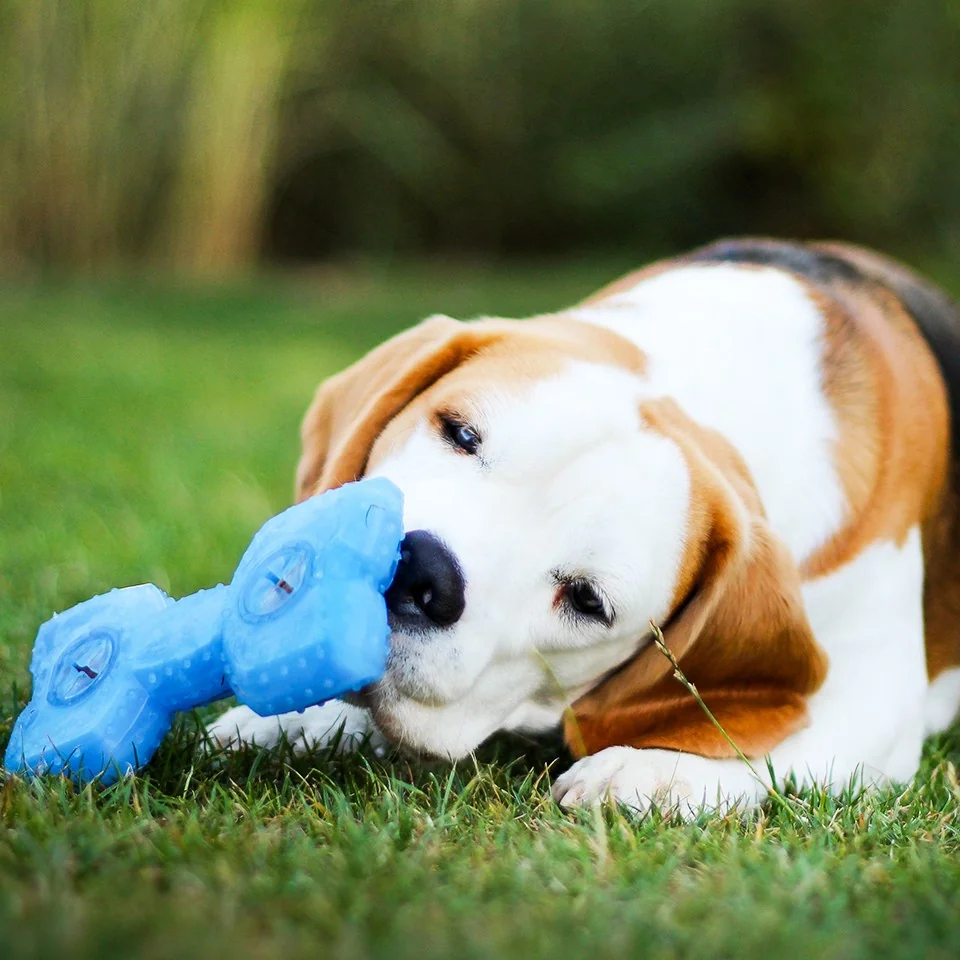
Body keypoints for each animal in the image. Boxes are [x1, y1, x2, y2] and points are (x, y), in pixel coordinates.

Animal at [208, 236, 960, 812]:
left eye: (588, 601)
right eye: (460, 432)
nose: (419, 571)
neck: (705, 382)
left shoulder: (881, 702)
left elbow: (770, 742)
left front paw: (654, 770)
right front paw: (301, 716)